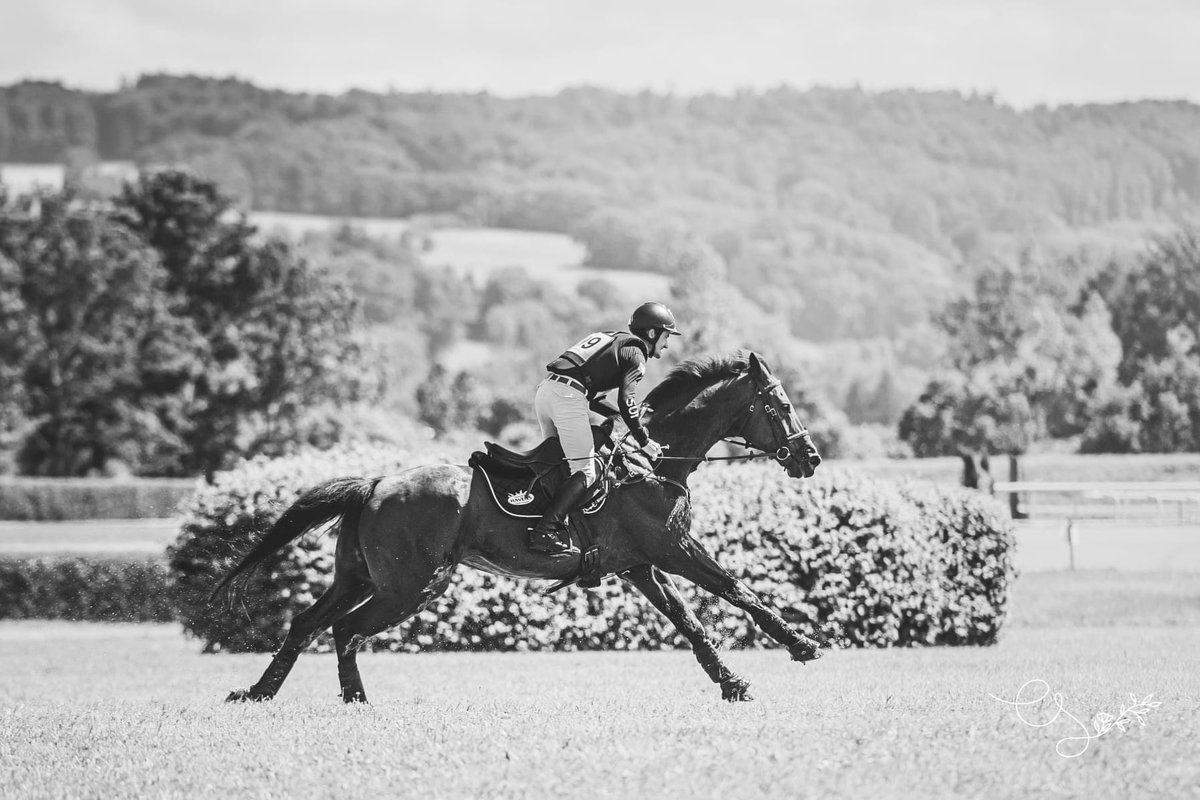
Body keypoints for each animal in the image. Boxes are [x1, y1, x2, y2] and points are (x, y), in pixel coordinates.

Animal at [217, 351, 824, 703]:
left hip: (359, 576)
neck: (655, 461)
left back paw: (259, 692)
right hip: (410, 585)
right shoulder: (672, 549)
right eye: (780, 405)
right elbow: (737, 591)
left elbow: (689, 622)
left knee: (308, 623)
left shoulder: (639, 565)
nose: (810, 458)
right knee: (346, 629)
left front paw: (732, 683)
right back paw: (354, 701)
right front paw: (802, 645)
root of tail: (376, 484)